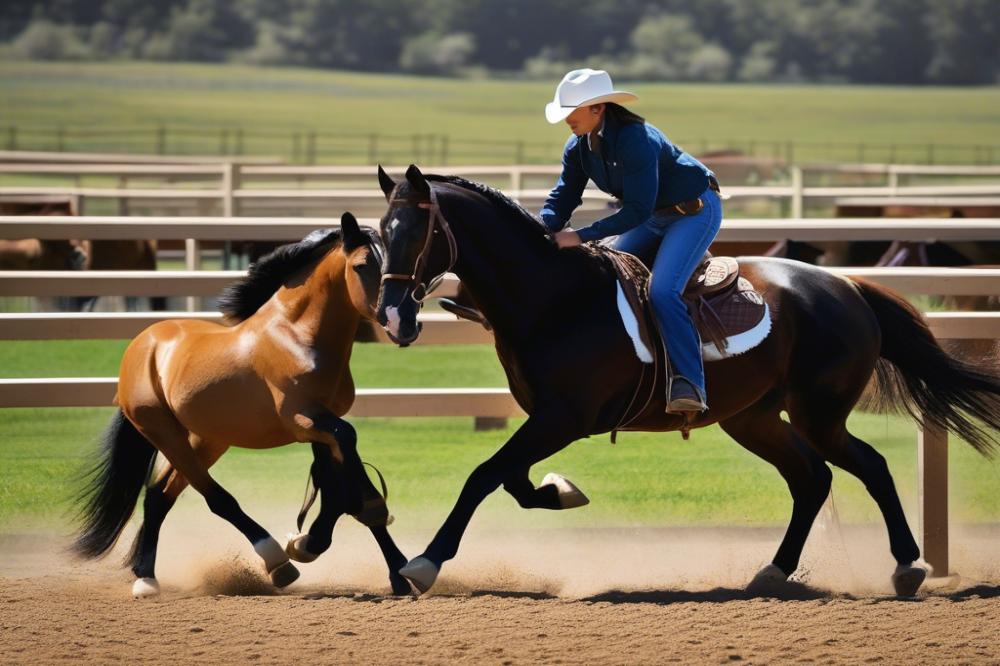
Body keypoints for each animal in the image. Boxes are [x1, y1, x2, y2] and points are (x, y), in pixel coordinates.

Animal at [73, 213, 410, 596]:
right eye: (361, 265)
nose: (402, 322)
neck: (297, 337)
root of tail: (144, 344)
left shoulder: (324, 425)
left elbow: (344, 481)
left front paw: (398, 572)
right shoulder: (304, 420)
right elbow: (350, 476)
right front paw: (310, 543)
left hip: (207, 439)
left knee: (159, 496)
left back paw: (145, 575)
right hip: (164, 433)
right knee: (215, 498)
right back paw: (275, 561)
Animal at [376, 165, 1000, 596]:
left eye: (416, 232)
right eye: (381, 231)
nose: (391, 315)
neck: (556, 297)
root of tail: (848, 286)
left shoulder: (563, 419)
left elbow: (484, 476)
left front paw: (424, 563)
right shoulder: (546, 420)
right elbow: (514, 481)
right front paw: (562, 490)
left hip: (818, 414)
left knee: (868, 466)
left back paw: (908, 566)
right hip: (753, 419)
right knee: (812, 479)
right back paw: (774, 572)